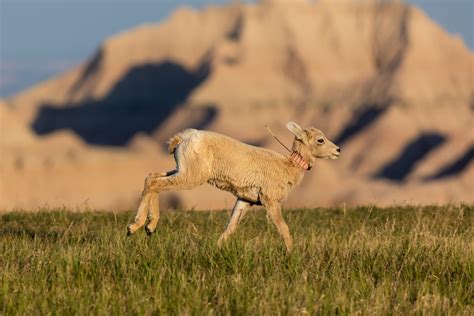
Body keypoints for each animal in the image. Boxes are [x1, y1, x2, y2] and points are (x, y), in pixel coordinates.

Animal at [128, 121, 338, 252]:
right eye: (320, 139)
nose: (338, 150)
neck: (287, 166)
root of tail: (184, 138)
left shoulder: (245, 200)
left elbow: (231, 227)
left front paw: (216, 248)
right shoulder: (271, 202)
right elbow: (283, 228)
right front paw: (291, 253)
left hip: (181, 170)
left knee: (151, 178)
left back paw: (148, 228)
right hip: (191, 176)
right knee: (155, 183)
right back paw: (136, 226)